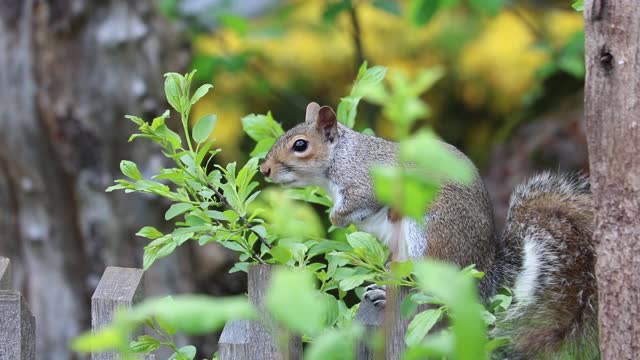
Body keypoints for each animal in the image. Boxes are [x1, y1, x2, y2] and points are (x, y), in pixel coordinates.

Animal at [258, 102, 596, 358]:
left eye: (300, 145)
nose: (264, 169)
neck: (341, 156)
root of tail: (485, 272)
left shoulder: (366, 184)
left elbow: (359, 203)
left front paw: (336, 217)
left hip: (428, 232)